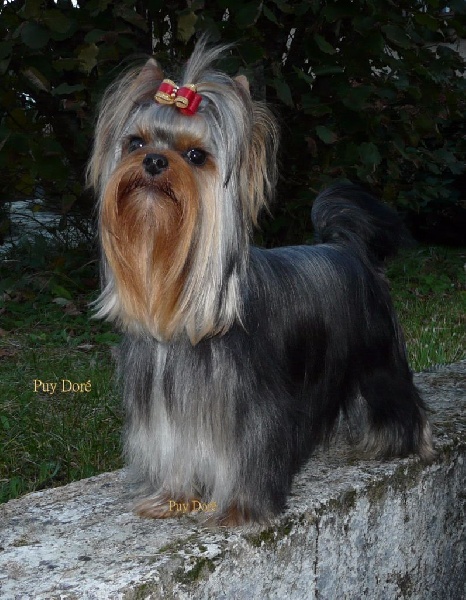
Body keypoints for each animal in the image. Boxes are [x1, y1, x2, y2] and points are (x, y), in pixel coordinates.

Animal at [87, 38, 434, 526]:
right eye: (135, 142)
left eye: (196, 156)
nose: (153, 161)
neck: (186, 314)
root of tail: (348, 248)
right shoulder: (166, 409)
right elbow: (176, 450)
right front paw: (171, 497)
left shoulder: (254, 412)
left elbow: (251, 454)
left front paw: (240, 508)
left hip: (376, 354)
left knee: (395, 395)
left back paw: (411, 444)